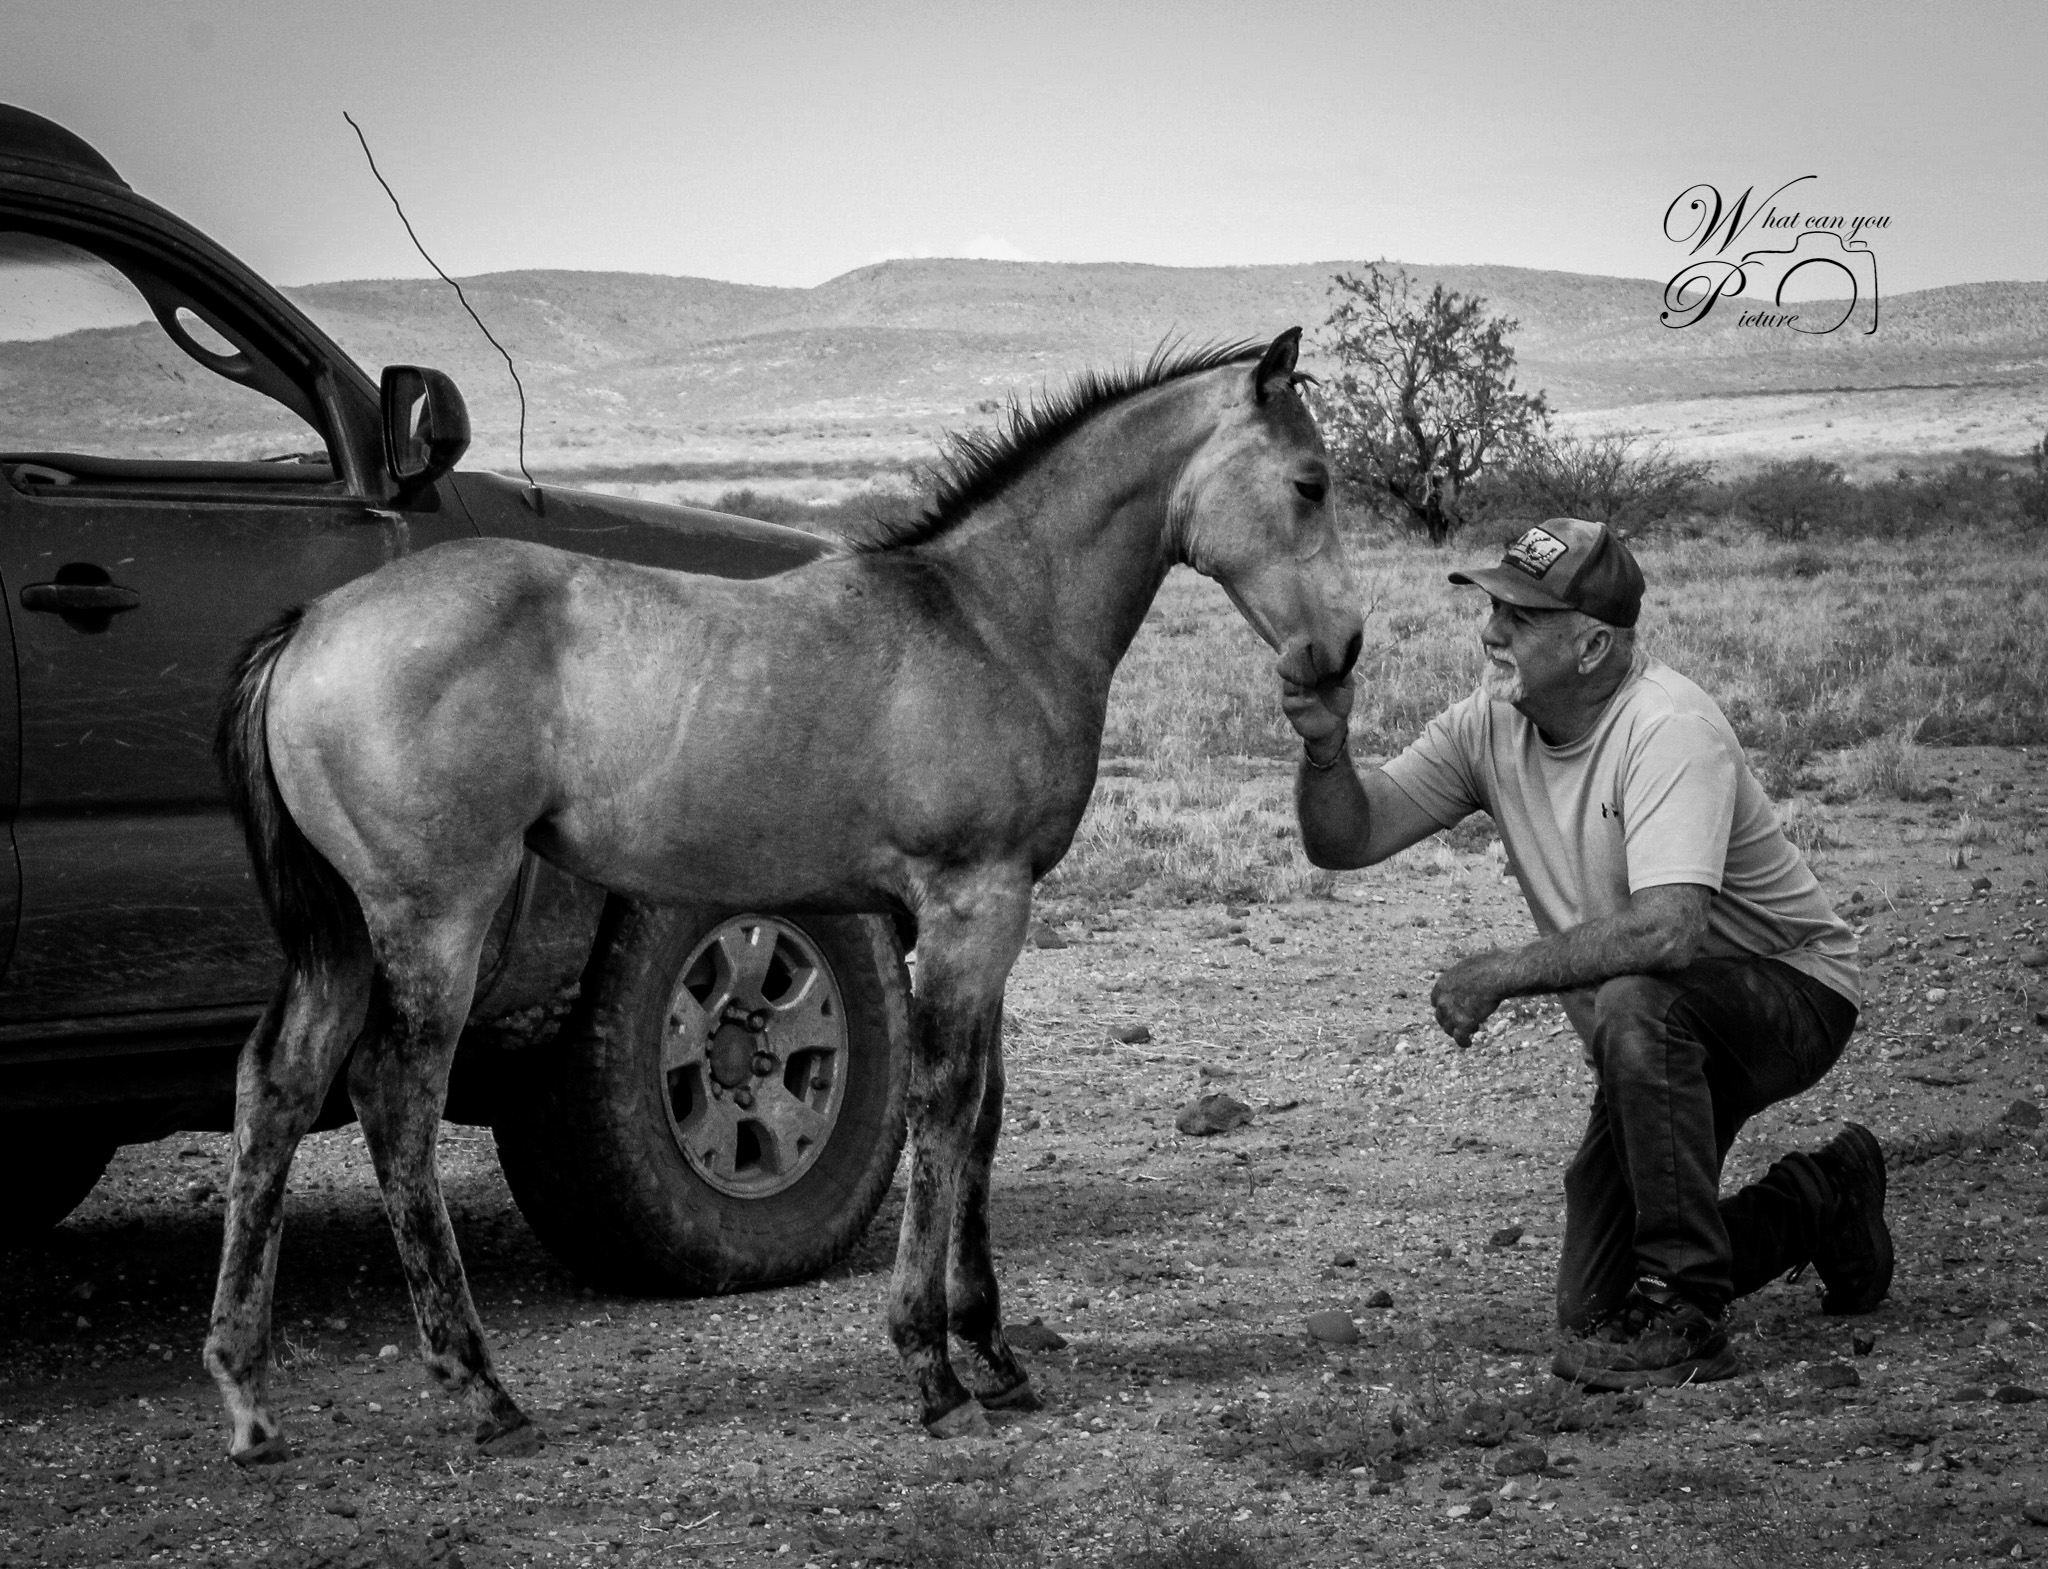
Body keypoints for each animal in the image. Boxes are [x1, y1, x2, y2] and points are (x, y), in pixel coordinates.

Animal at [203, 328, 1363, 1462]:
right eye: (1309, 483)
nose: (1339, 650)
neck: (990, 621)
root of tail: (309, 628)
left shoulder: (995, 917)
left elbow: (983, 1117)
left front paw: (993, 1350)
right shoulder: (970, 903)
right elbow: (944, 1108)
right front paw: (932, 1366)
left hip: (343, 934)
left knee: (278, 1083)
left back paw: (248, 1395)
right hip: (435, 919)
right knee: (393, 1095)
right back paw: (478, 1386)